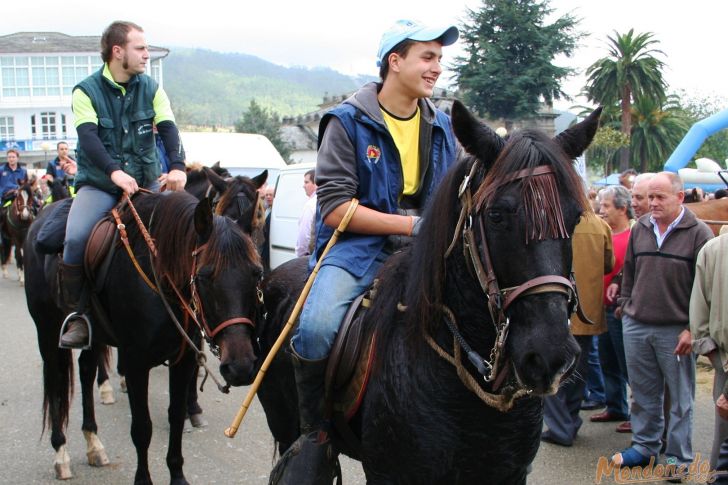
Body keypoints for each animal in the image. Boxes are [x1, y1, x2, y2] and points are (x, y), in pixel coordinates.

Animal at [24, 191, 264, 482]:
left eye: (257, 273)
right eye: (204, 276)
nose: (241, 367)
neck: (160, 277)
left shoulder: (183, 360)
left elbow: (176, 416)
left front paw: (178, 476)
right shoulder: (135, 363)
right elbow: (141, 428)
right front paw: (144, 479)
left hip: (94, 335)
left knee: (85, 371)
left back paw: (94, 444)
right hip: (47, 330)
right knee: (56, 381)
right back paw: (61, 453)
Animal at [258, 100, 600, 482]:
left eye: (576, 218)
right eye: (496, 215)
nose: (550, 356)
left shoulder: (509, 473)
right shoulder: (391, 474)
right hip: (284, 421)